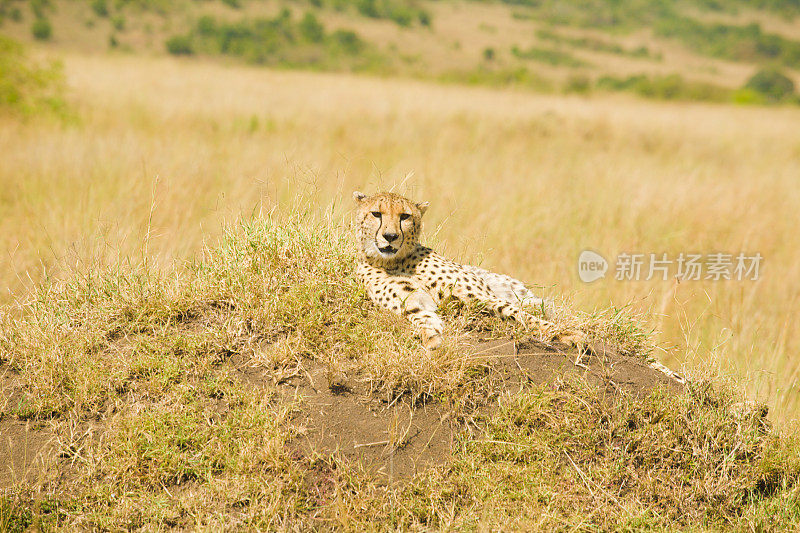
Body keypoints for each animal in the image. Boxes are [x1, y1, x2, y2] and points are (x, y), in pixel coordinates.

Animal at [352, 190, 580, 350]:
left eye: (405, 217)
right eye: (376, 214)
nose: (390, 236)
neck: (396, 261)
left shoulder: (481, 296)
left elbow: (518, 313)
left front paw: (565, 334)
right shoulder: (413, 303)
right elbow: (422, 317)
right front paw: (430, 337)